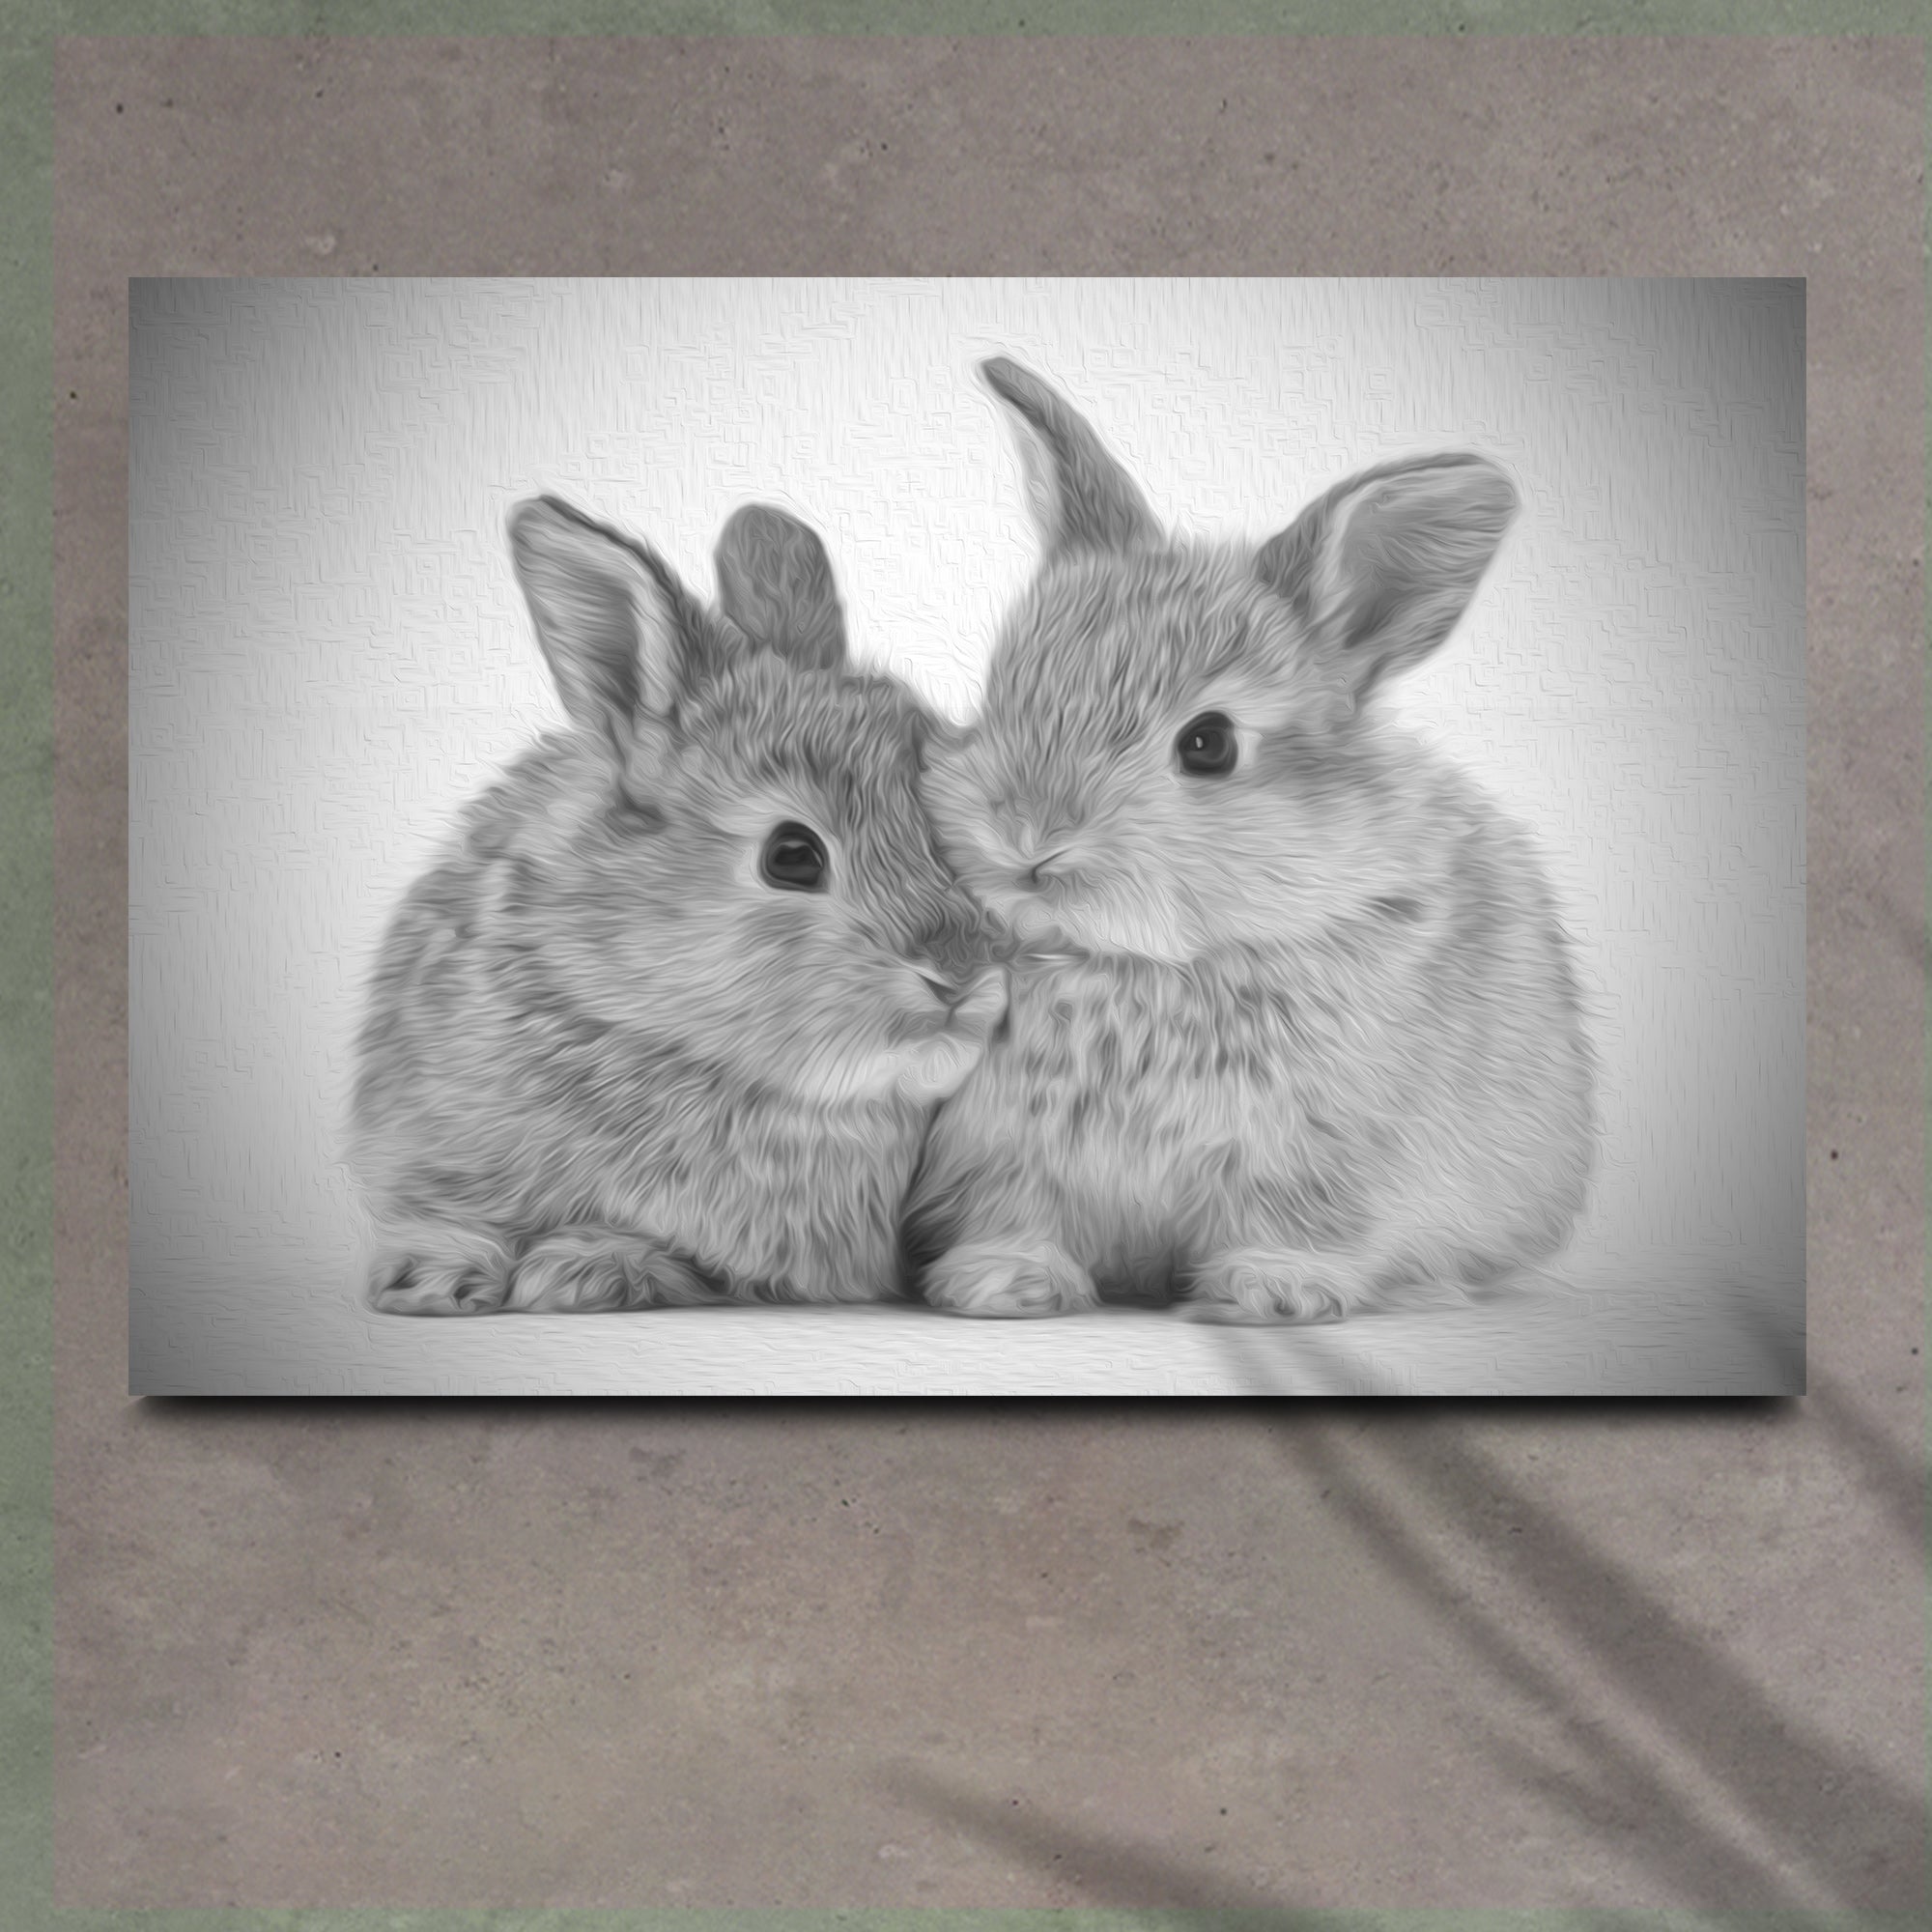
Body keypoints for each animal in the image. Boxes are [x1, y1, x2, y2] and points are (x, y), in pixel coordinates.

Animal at [349, 493, 1006, 1315]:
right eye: (792, 856)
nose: (964, 974)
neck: (666, 1039)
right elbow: (445, 1214)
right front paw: (429, 1278)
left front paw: (583, 1269)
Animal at [904, 356, 1597, 1324]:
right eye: (1003, 694)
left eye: (1210, 744)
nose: (1028, 835)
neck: (1140, 961)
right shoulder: (1002, 1153)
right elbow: (1017, 1213)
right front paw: (1004, 1282)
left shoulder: (1318, 1152)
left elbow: (1296, 1222)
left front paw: (1276, 1291)